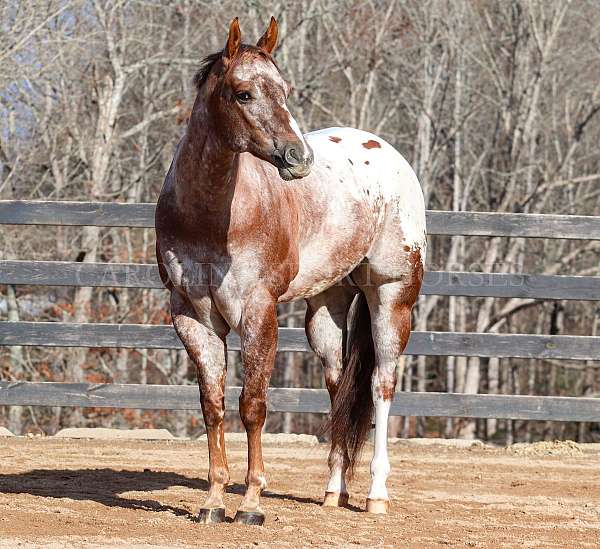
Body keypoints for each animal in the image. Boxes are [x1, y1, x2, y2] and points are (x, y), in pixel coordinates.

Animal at [155, 16, 426, 524]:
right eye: (243, 93)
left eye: (283, 90)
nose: (299, 159)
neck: (210, 215)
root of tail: (385, 152)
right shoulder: (193, 317)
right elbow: (213, 406)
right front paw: (213, 501)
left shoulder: (258, 312)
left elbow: (253, 405)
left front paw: (251, 503)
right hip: (325, 310)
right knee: (339, 388)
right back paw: (333, 490)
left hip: (392, 297)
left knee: (381, 385)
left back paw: (376, 495)